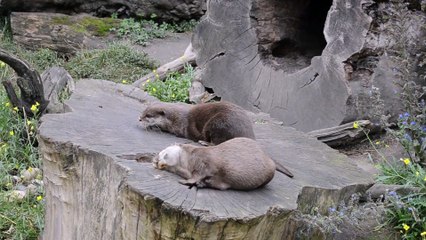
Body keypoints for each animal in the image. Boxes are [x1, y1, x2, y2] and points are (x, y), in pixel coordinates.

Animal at [151, 138, 282, 190]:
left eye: (164, 154)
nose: (156, 161)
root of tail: (267, 155)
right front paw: (200, 184)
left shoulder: (204, 161)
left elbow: (200, 173)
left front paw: (185, 182)